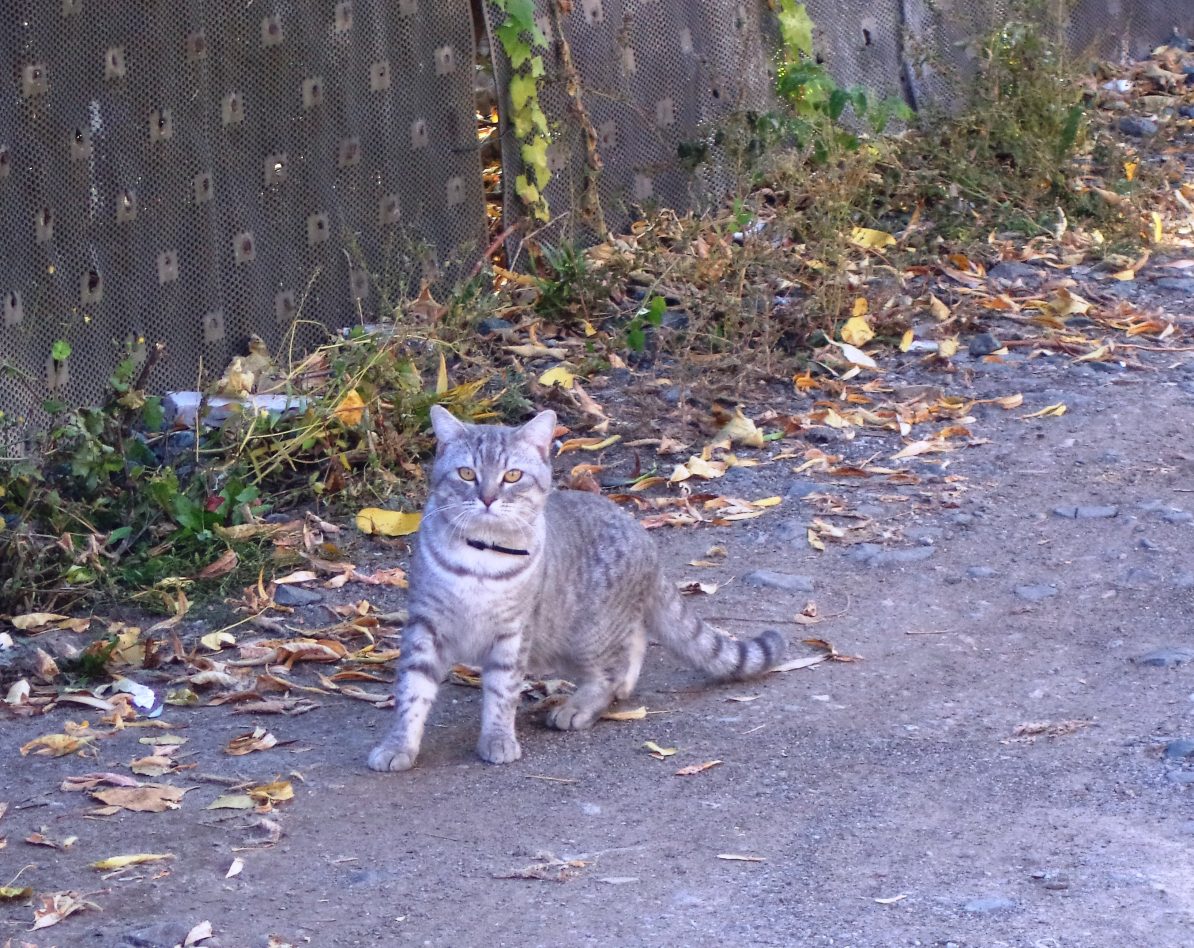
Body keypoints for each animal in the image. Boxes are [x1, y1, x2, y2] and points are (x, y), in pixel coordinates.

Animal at [367, 403, 788, 768]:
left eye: (512, 476)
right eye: (466, 474)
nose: (487, 498)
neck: (481, 558)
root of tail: (646, 539)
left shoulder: (513, 633)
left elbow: (502, 693)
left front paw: (498, 738)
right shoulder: (425, 624)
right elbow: (412, 692)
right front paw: (399, 745)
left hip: (586, 635)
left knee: (610, 670)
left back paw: (580, 706)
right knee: (633, 647)